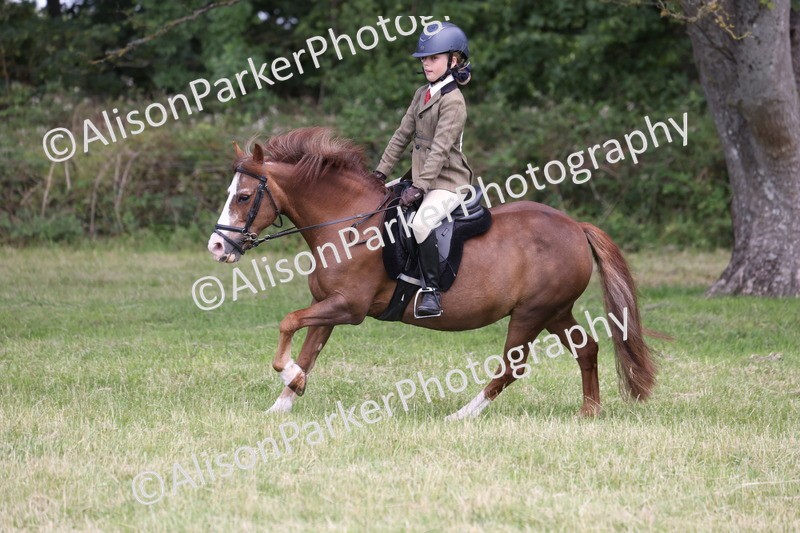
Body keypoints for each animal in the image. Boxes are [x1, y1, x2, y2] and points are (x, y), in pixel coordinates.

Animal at [207, 127, 658, 419]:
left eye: (243, 197)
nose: (217, 247)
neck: (347, 223)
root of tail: (575, 226)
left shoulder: (348, 307)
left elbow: (288, 323)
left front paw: (291, 379)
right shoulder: (327, 305)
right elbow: (308, 351)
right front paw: (285, 399)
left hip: (532, 313)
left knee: (511, 367)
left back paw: (461, 415)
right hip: (555, 311)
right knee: (587, 349)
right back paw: (589, 412)